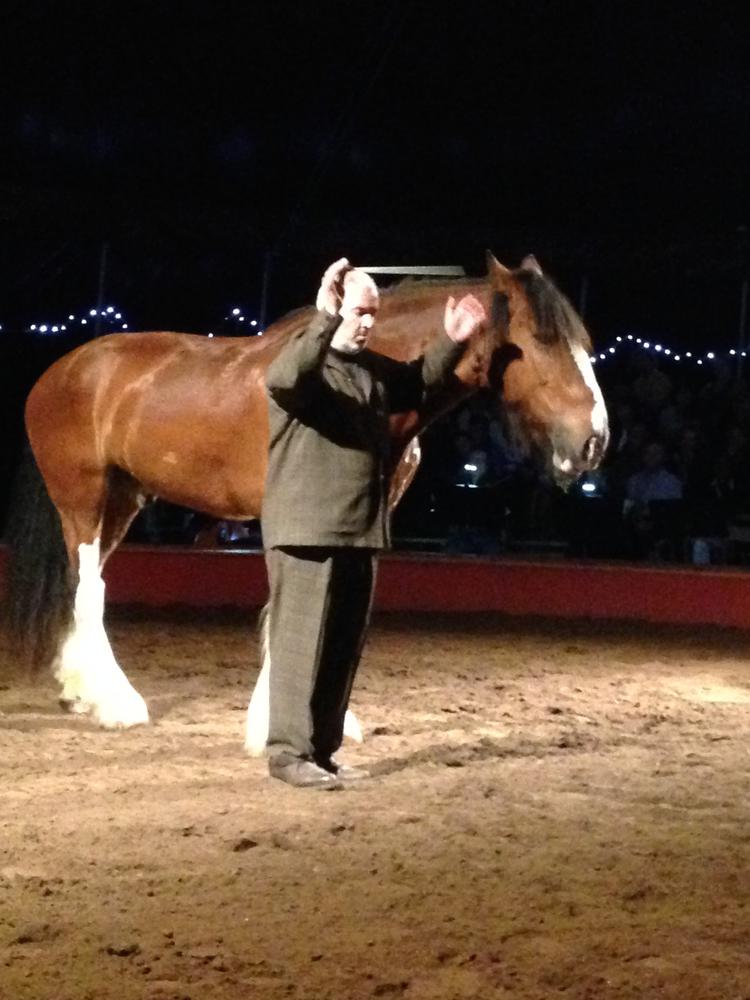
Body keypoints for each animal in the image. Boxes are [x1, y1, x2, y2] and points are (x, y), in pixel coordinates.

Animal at [5, 252, 612, 752]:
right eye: (541, 339)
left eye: (584, 341)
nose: (595, 440)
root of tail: (57, 372)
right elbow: (288, 605)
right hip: (83, 498)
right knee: (91, 589)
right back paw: (116, 704)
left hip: (123, 500)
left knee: (83, 584)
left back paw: (80, 691)